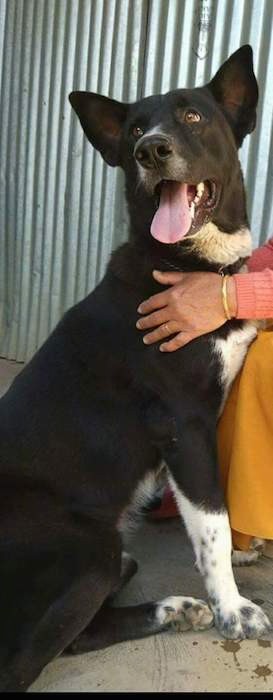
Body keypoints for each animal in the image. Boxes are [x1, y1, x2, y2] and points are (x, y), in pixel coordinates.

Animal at [0, 46, 268, 692]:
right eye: (133, 132)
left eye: (192, 116)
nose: (152, 150)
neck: (192, 264)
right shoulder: (184, 425)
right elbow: (212, 521)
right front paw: (233, 606)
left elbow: (216, 514)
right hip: (88, 543)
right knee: (37, 655)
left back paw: (174, 608)